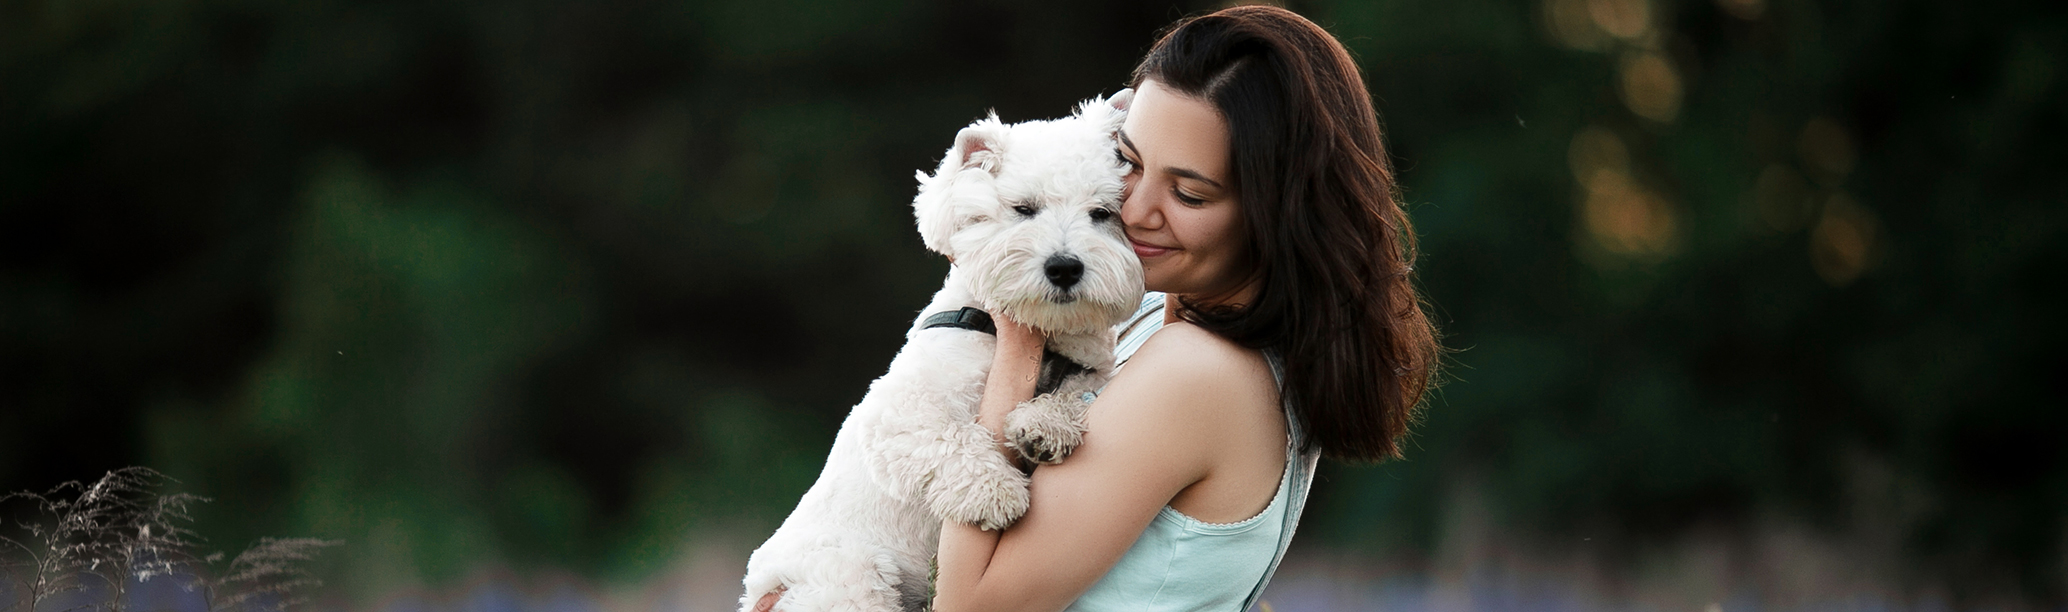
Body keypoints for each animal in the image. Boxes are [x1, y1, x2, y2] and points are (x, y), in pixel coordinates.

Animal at [736, 90, 1141, 612]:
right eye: (1024, 209)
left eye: (1103, 213)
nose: (1065, 267)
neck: (1038, 336)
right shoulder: (898, 414)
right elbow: (953, 438)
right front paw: (997, 493)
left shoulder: (1091, 372)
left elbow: (1078, 392)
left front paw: (1042, 426)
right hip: (849, 576)